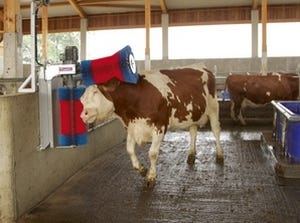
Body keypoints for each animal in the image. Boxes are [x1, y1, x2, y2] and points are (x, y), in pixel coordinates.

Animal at [79, 64, 223, 188]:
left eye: (96, 92)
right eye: (82, 98)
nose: (83, 114)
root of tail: (202, 66)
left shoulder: (160, 126)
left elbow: (152, 153)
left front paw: (151, 177)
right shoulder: (133, 127)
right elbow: (129, 150)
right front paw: (142, 169)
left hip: (213, 108)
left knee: (216, 130)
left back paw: (220, 155)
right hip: (192, 114)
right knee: (193, 131)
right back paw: (191, 155)